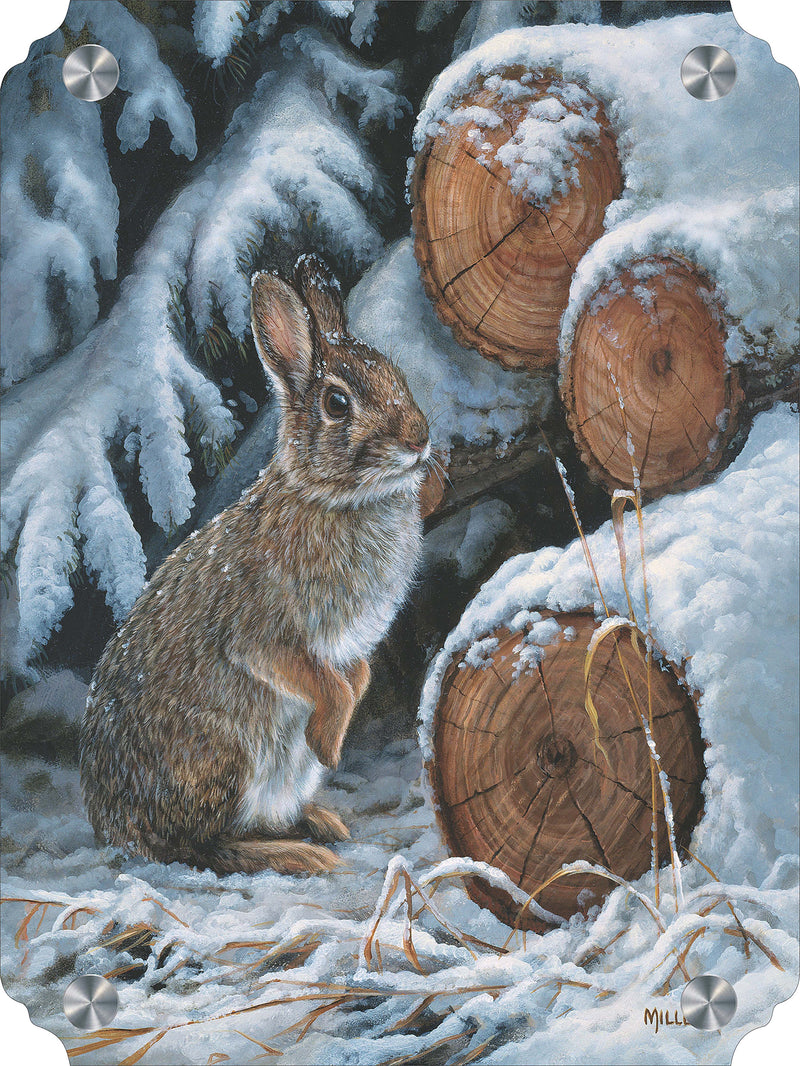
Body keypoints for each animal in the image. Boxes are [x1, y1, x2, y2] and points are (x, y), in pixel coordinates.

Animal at [80, 254, 431, 876]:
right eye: (337, 404)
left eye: (398, 375)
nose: (421, 438)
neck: (330, 497)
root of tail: (114, 827)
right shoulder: (263, 637)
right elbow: (325, 683)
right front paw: (329, 745)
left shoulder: (351, 646)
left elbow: (357, 677)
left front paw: (331, 740)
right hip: (222, 759)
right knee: (200, 848)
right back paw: (302, 853)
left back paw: (320, 823)